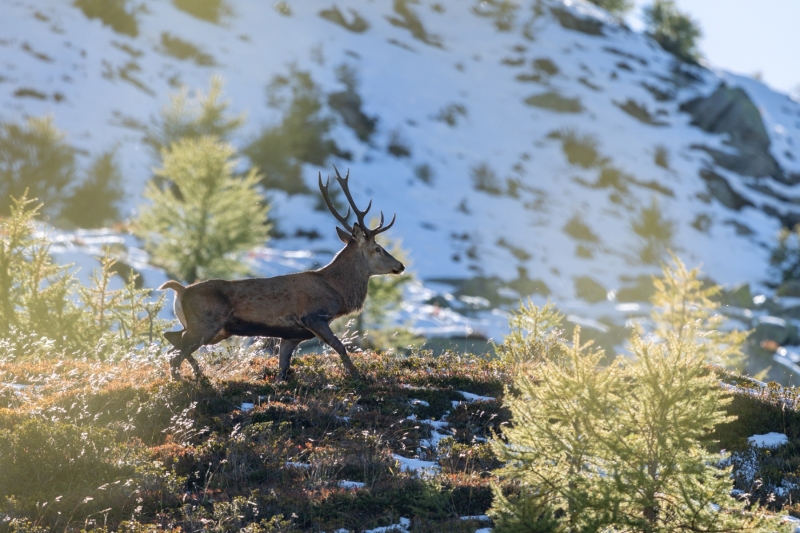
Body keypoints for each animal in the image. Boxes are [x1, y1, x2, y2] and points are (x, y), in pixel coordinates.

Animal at [158, 167, 404, 381]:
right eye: (378, 249)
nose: (400, 265)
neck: (338, 292)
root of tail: (181, 290)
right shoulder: (313, 316)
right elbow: (340, 346)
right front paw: (357, 375)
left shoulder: (291, 335)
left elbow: (283, 366)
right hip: (206, 323)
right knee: (175, 353)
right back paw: (185, 381)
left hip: (214, 329)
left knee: (171, 339)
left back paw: (199, 374)